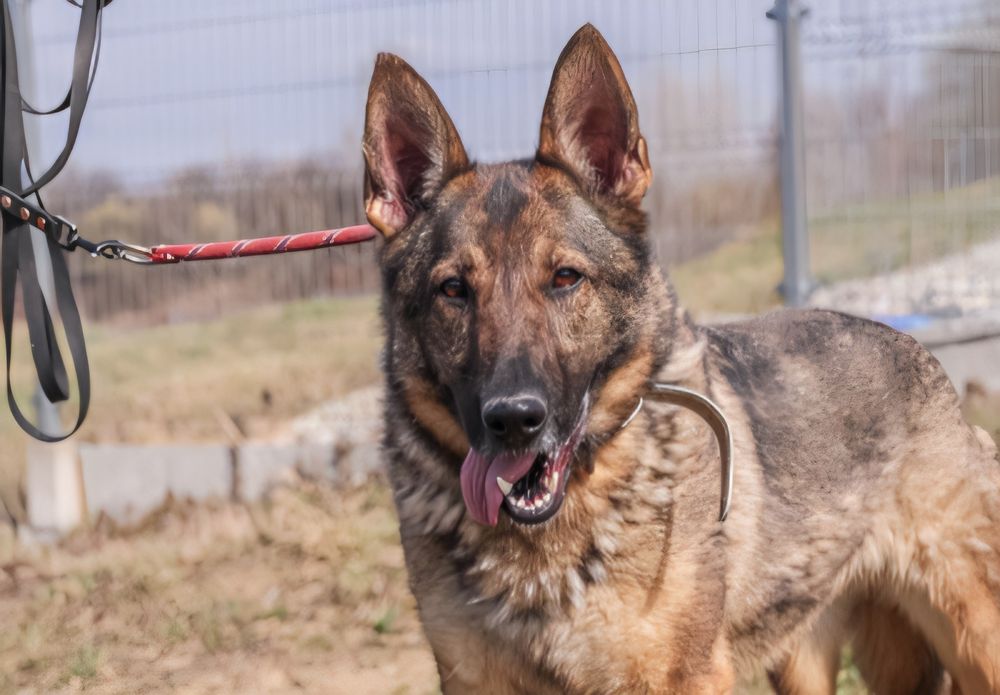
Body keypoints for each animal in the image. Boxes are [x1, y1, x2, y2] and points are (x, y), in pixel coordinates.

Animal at [362, 23, 1000, 693]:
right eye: (454, 290)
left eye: (565, 278)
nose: (512, 419)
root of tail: (918, 352)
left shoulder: (684, 675)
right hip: (804, 658)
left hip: (974, 637)